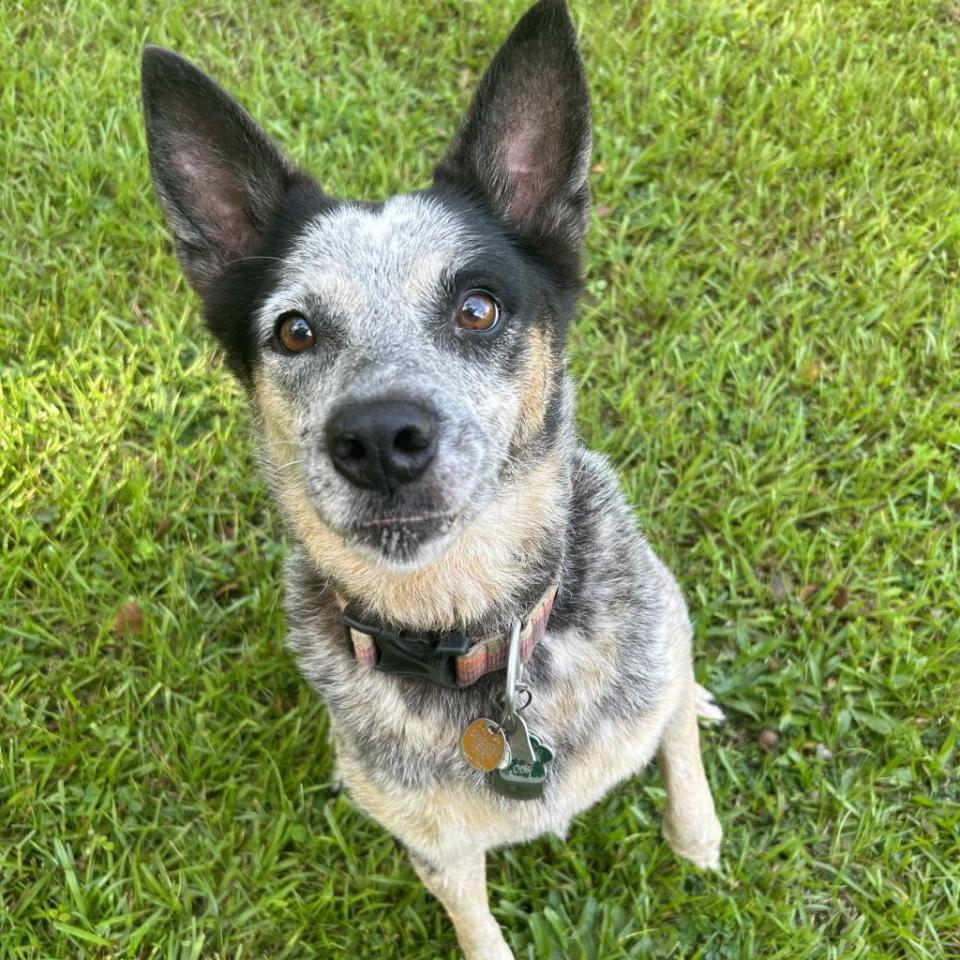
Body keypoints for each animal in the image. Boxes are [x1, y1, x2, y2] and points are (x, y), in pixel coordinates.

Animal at [144, 3, 720, 956]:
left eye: (476, 307)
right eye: (294, 331)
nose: (380, 438)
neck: (479, 640)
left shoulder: (652, 668)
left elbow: (677, 750)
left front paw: (698, 836)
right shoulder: (436, 849)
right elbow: (476, 926)